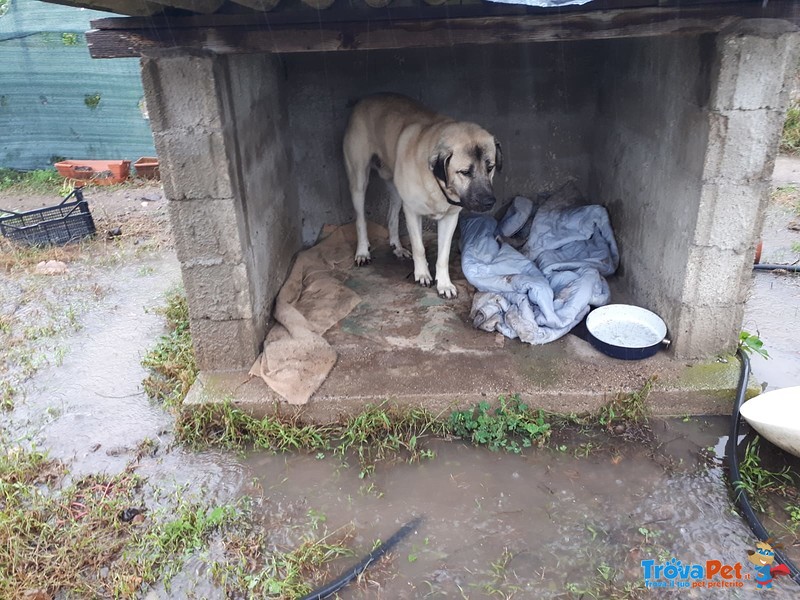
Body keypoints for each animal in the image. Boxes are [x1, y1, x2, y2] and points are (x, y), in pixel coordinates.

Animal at [342, 93, 500, 298]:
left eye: (490, 167)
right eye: (465, 172)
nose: (490, 202)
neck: (436, 181)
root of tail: (364, 99)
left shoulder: (450, 218)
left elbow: (443, 255)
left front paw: (444, 284)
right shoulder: (412, 212)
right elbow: (419, 247)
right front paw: (423, 274)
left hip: (396, 189)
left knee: (392, 217)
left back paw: (397, 247)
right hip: (359, 180)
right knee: (361, 219)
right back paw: (362, 252)